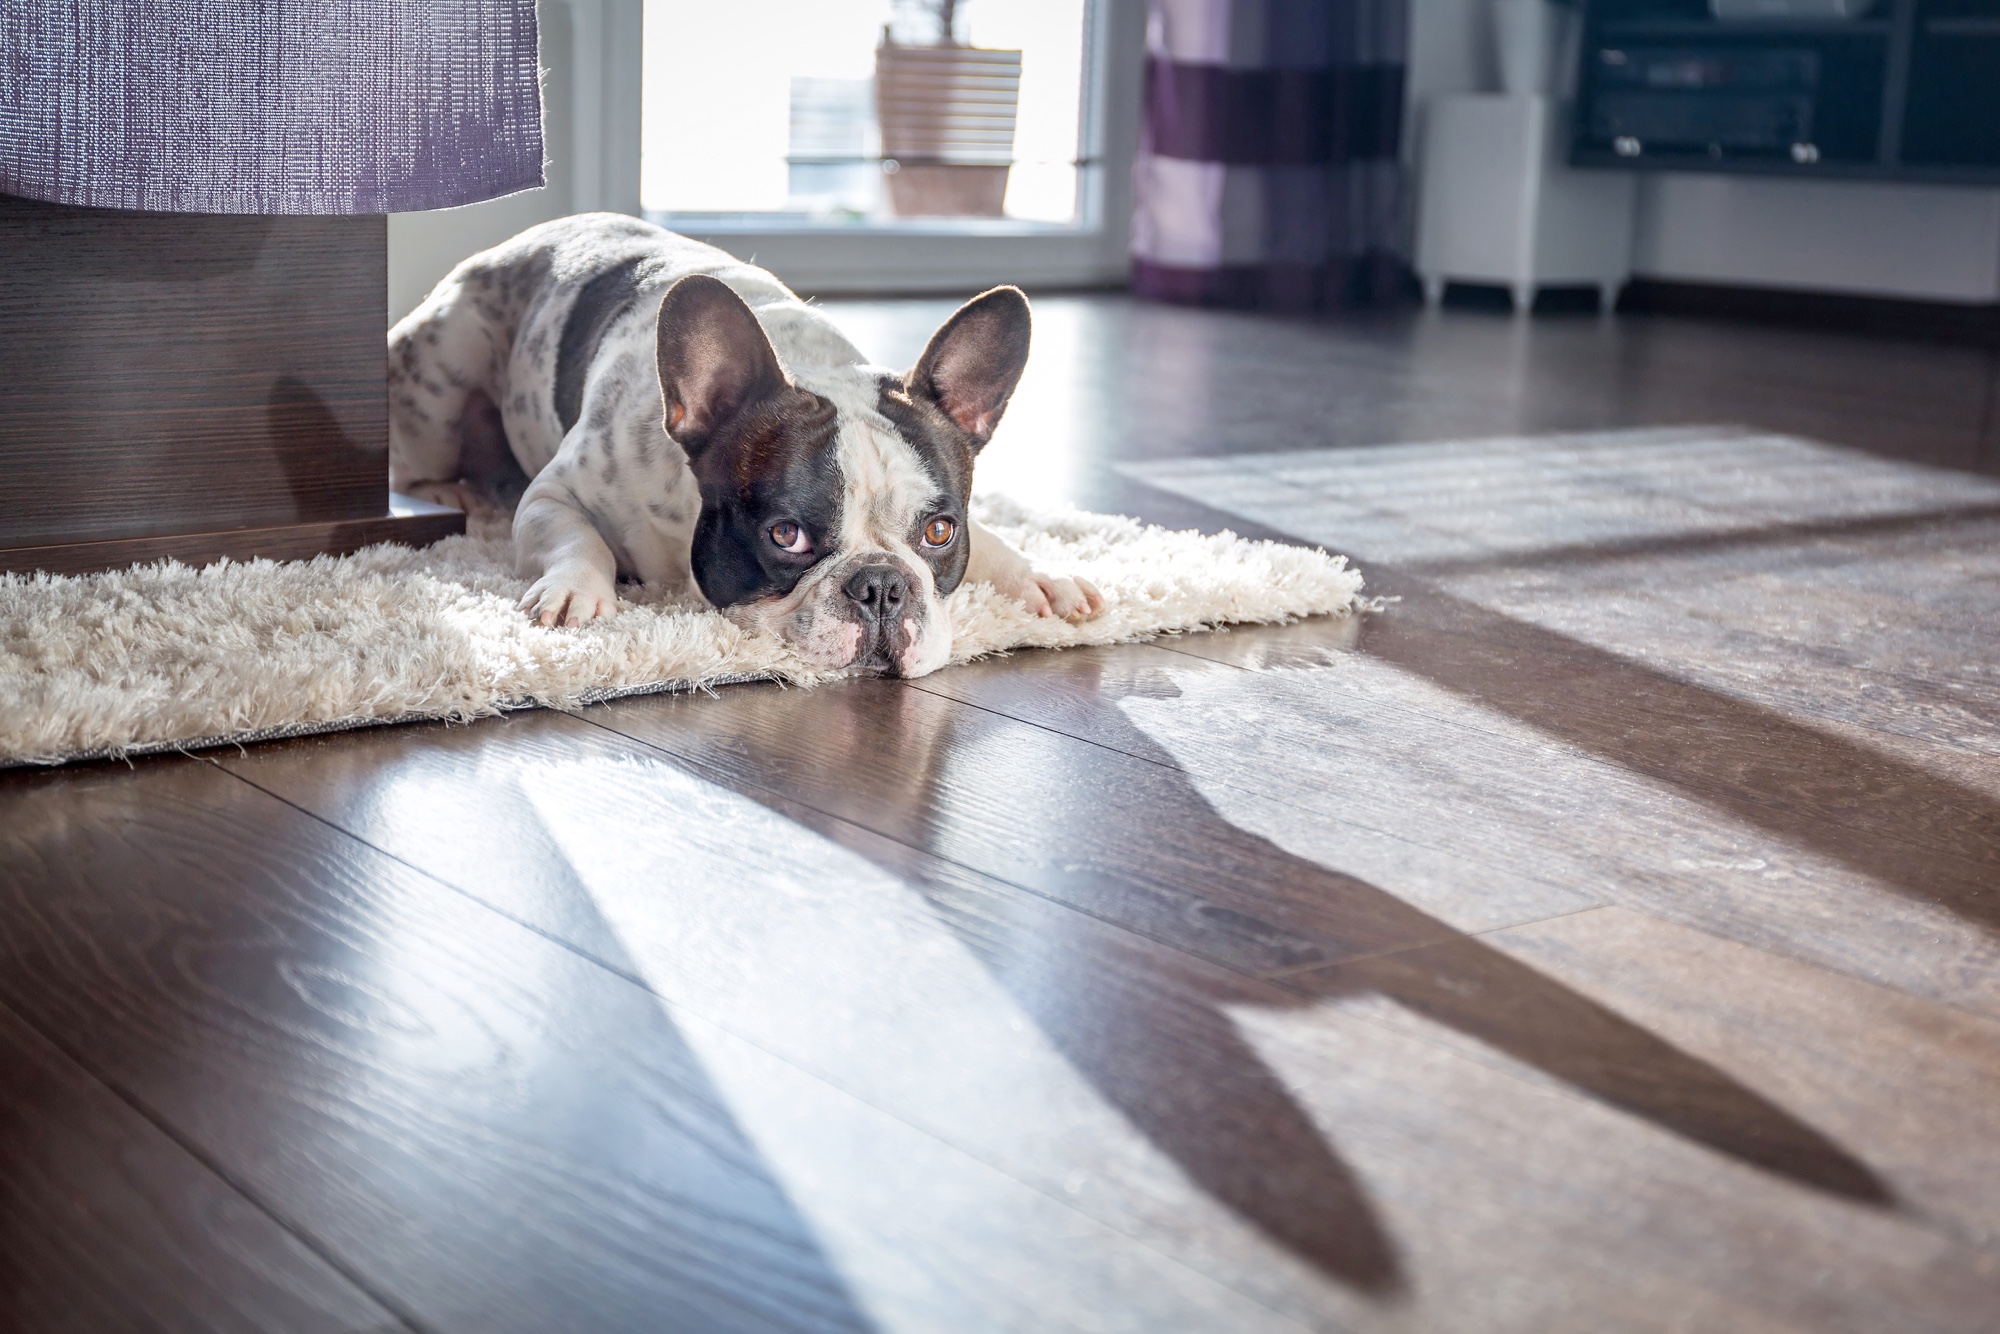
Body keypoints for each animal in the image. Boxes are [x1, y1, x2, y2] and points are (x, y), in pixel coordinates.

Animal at [386, 215, 1112, 684]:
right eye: (785, 536)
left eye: (939, 532)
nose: (881, 587)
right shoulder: (555, 491)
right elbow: (574, 537)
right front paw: (576, 591)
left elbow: (993, 539)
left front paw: (1040, 577)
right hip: (443, 372)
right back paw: (453, 492)